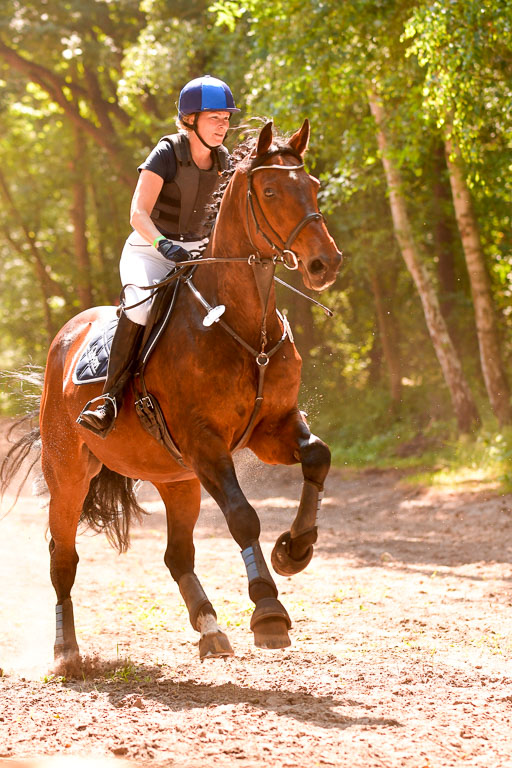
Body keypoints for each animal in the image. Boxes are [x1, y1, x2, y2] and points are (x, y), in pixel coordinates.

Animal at [3, 120, 344, 672]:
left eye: (312, 186)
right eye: (271, 190)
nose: (325, 263)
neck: (240, 321)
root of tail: (66, 336)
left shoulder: (271, 429)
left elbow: (317, 455)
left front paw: (294, 550)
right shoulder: (205, 443)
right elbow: (243, 517)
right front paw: (268, 612)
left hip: (177, 478)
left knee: (176, 555)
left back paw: (210, 628)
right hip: (68, 471)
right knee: (63, 557)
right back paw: (65, 651)